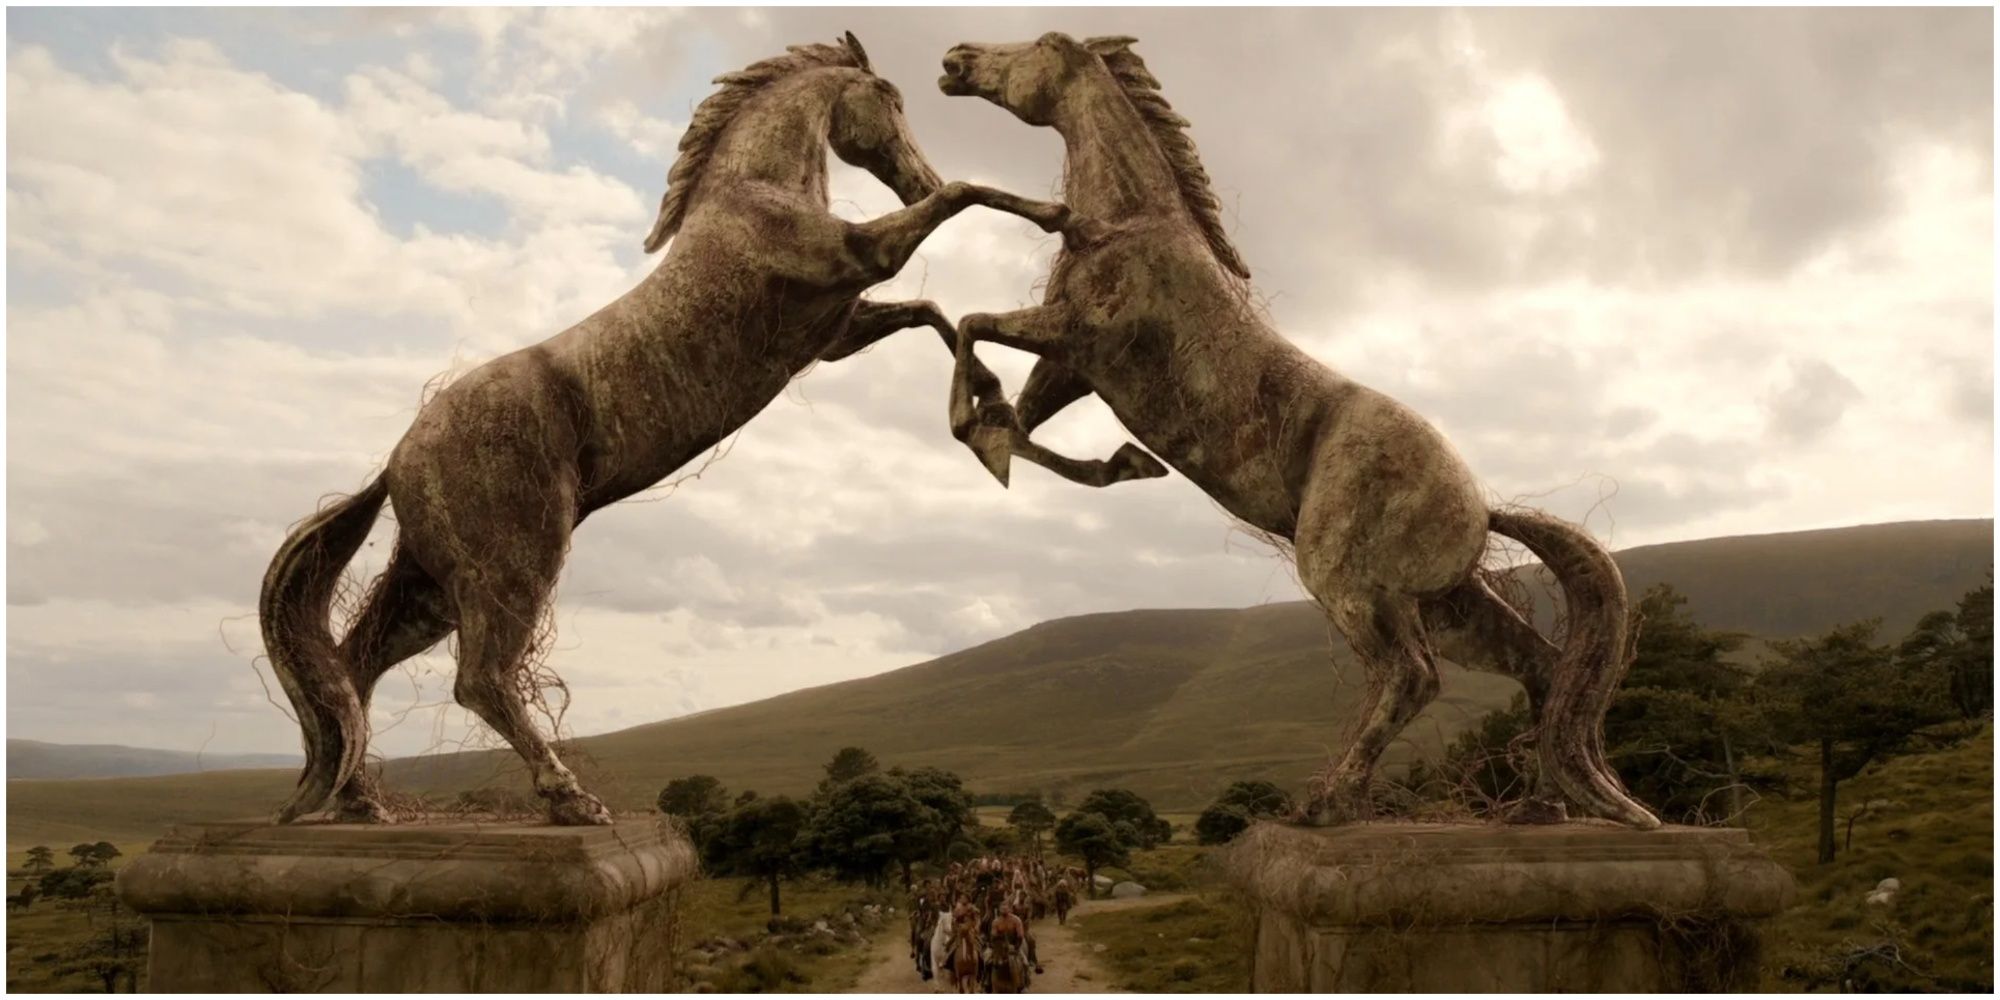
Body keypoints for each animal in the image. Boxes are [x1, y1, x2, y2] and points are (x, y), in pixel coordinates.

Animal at [256, 33, 1160, 828]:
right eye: (888, 97)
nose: (913, 172)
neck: (753, 194)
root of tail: (398, 456)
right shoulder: (857, 260)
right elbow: (966, 198)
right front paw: (1056, 215)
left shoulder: (836, 328)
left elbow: (933, 313)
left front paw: (1009, 424)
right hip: (514, 558)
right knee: (479, 678)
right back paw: (569, 802)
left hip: (429, 579)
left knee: (354, 668)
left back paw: (361, 803)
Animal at [936, 31, 1656, 828]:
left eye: (1040, 45)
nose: (956, 57)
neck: (1127, 223)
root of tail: (1481, 507)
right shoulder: (1073, 366)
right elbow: (1018, 408)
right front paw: (1056, 449)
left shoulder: (1078, 336)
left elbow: (970, 323)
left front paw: (1003, 431)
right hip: (1451, 605)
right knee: (1543, 669)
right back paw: (1541, 808)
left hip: (1350, 584)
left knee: (1411, 677)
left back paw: (1329, 802)